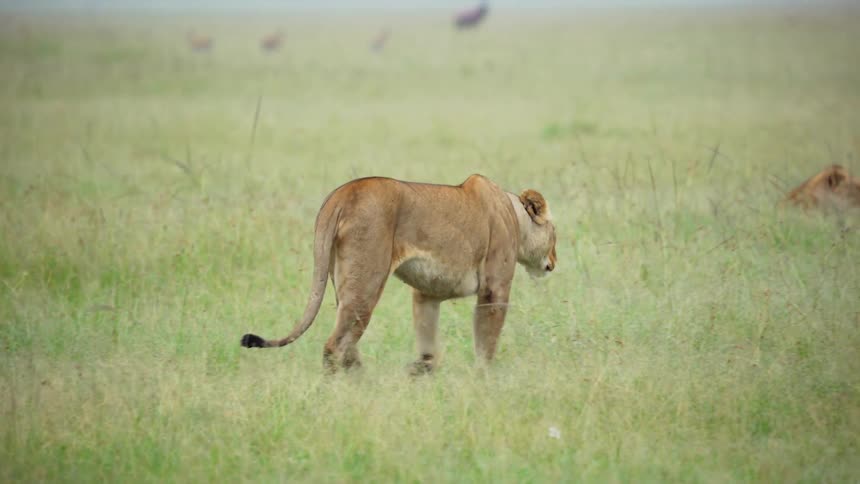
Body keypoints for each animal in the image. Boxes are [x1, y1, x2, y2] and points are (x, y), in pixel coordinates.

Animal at [240, 174, 558, 374]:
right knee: (335, 345)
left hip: (343, 282)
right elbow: (487, 338)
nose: (554, 262)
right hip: (367, 282)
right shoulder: (495, 287)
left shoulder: (426, 293)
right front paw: (484, 376)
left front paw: (422, 369)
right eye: (555, 234)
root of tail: (341, 195)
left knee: (347, 342)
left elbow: (427, 336)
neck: (513, 213)